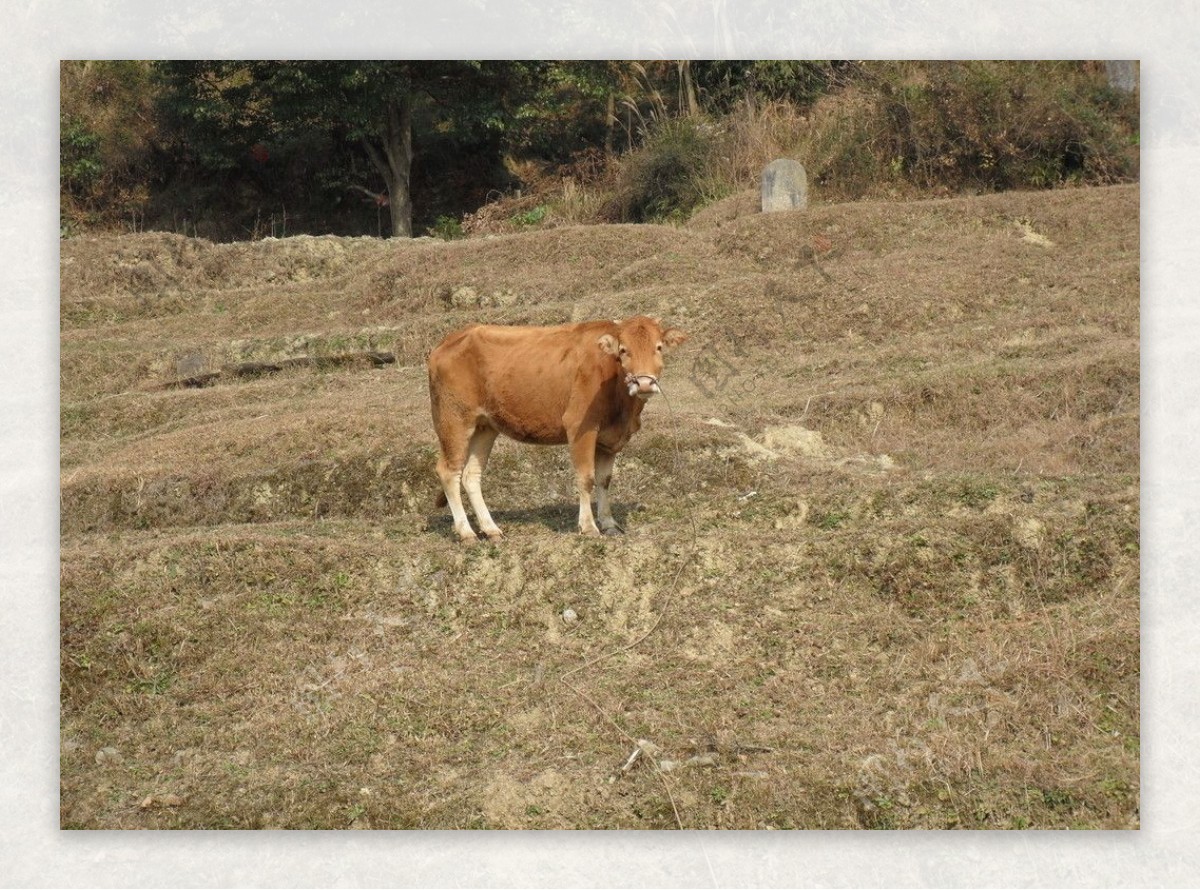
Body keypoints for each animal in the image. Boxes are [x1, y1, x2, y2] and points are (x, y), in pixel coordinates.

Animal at [432, 316, 691, 539]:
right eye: (623, 350)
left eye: (658, 347)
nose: (644, 383)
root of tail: (448, 340)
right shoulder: (580, 426)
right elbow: (586, 477)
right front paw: (588, 526)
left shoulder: (610, 438)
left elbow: (604, 480)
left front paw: (608, 523)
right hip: (454, 420)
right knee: (448, 471)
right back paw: (467, 533)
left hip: (485, 426)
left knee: (471, 475)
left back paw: (491, 529)